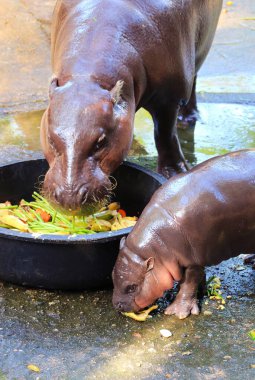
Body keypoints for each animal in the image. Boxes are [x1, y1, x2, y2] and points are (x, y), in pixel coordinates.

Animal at [39, 0, 221, 209]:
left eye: (100, 142)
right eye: (50, 139)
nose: (70, 197)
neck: (88, 77)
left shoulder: (169, 98)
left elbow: (165, 135)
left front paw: (175, 174)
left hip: (200, 52)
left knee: (193, 83)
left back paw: (187, 119)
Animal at [112, 150, 255, 320]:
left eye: (132, 287)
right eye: (112, 276)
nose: (116, 305)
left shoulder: (194, 260)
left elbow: (189, 283)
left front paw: (177, 312)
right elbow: (196, 278)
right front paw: (200, 290)